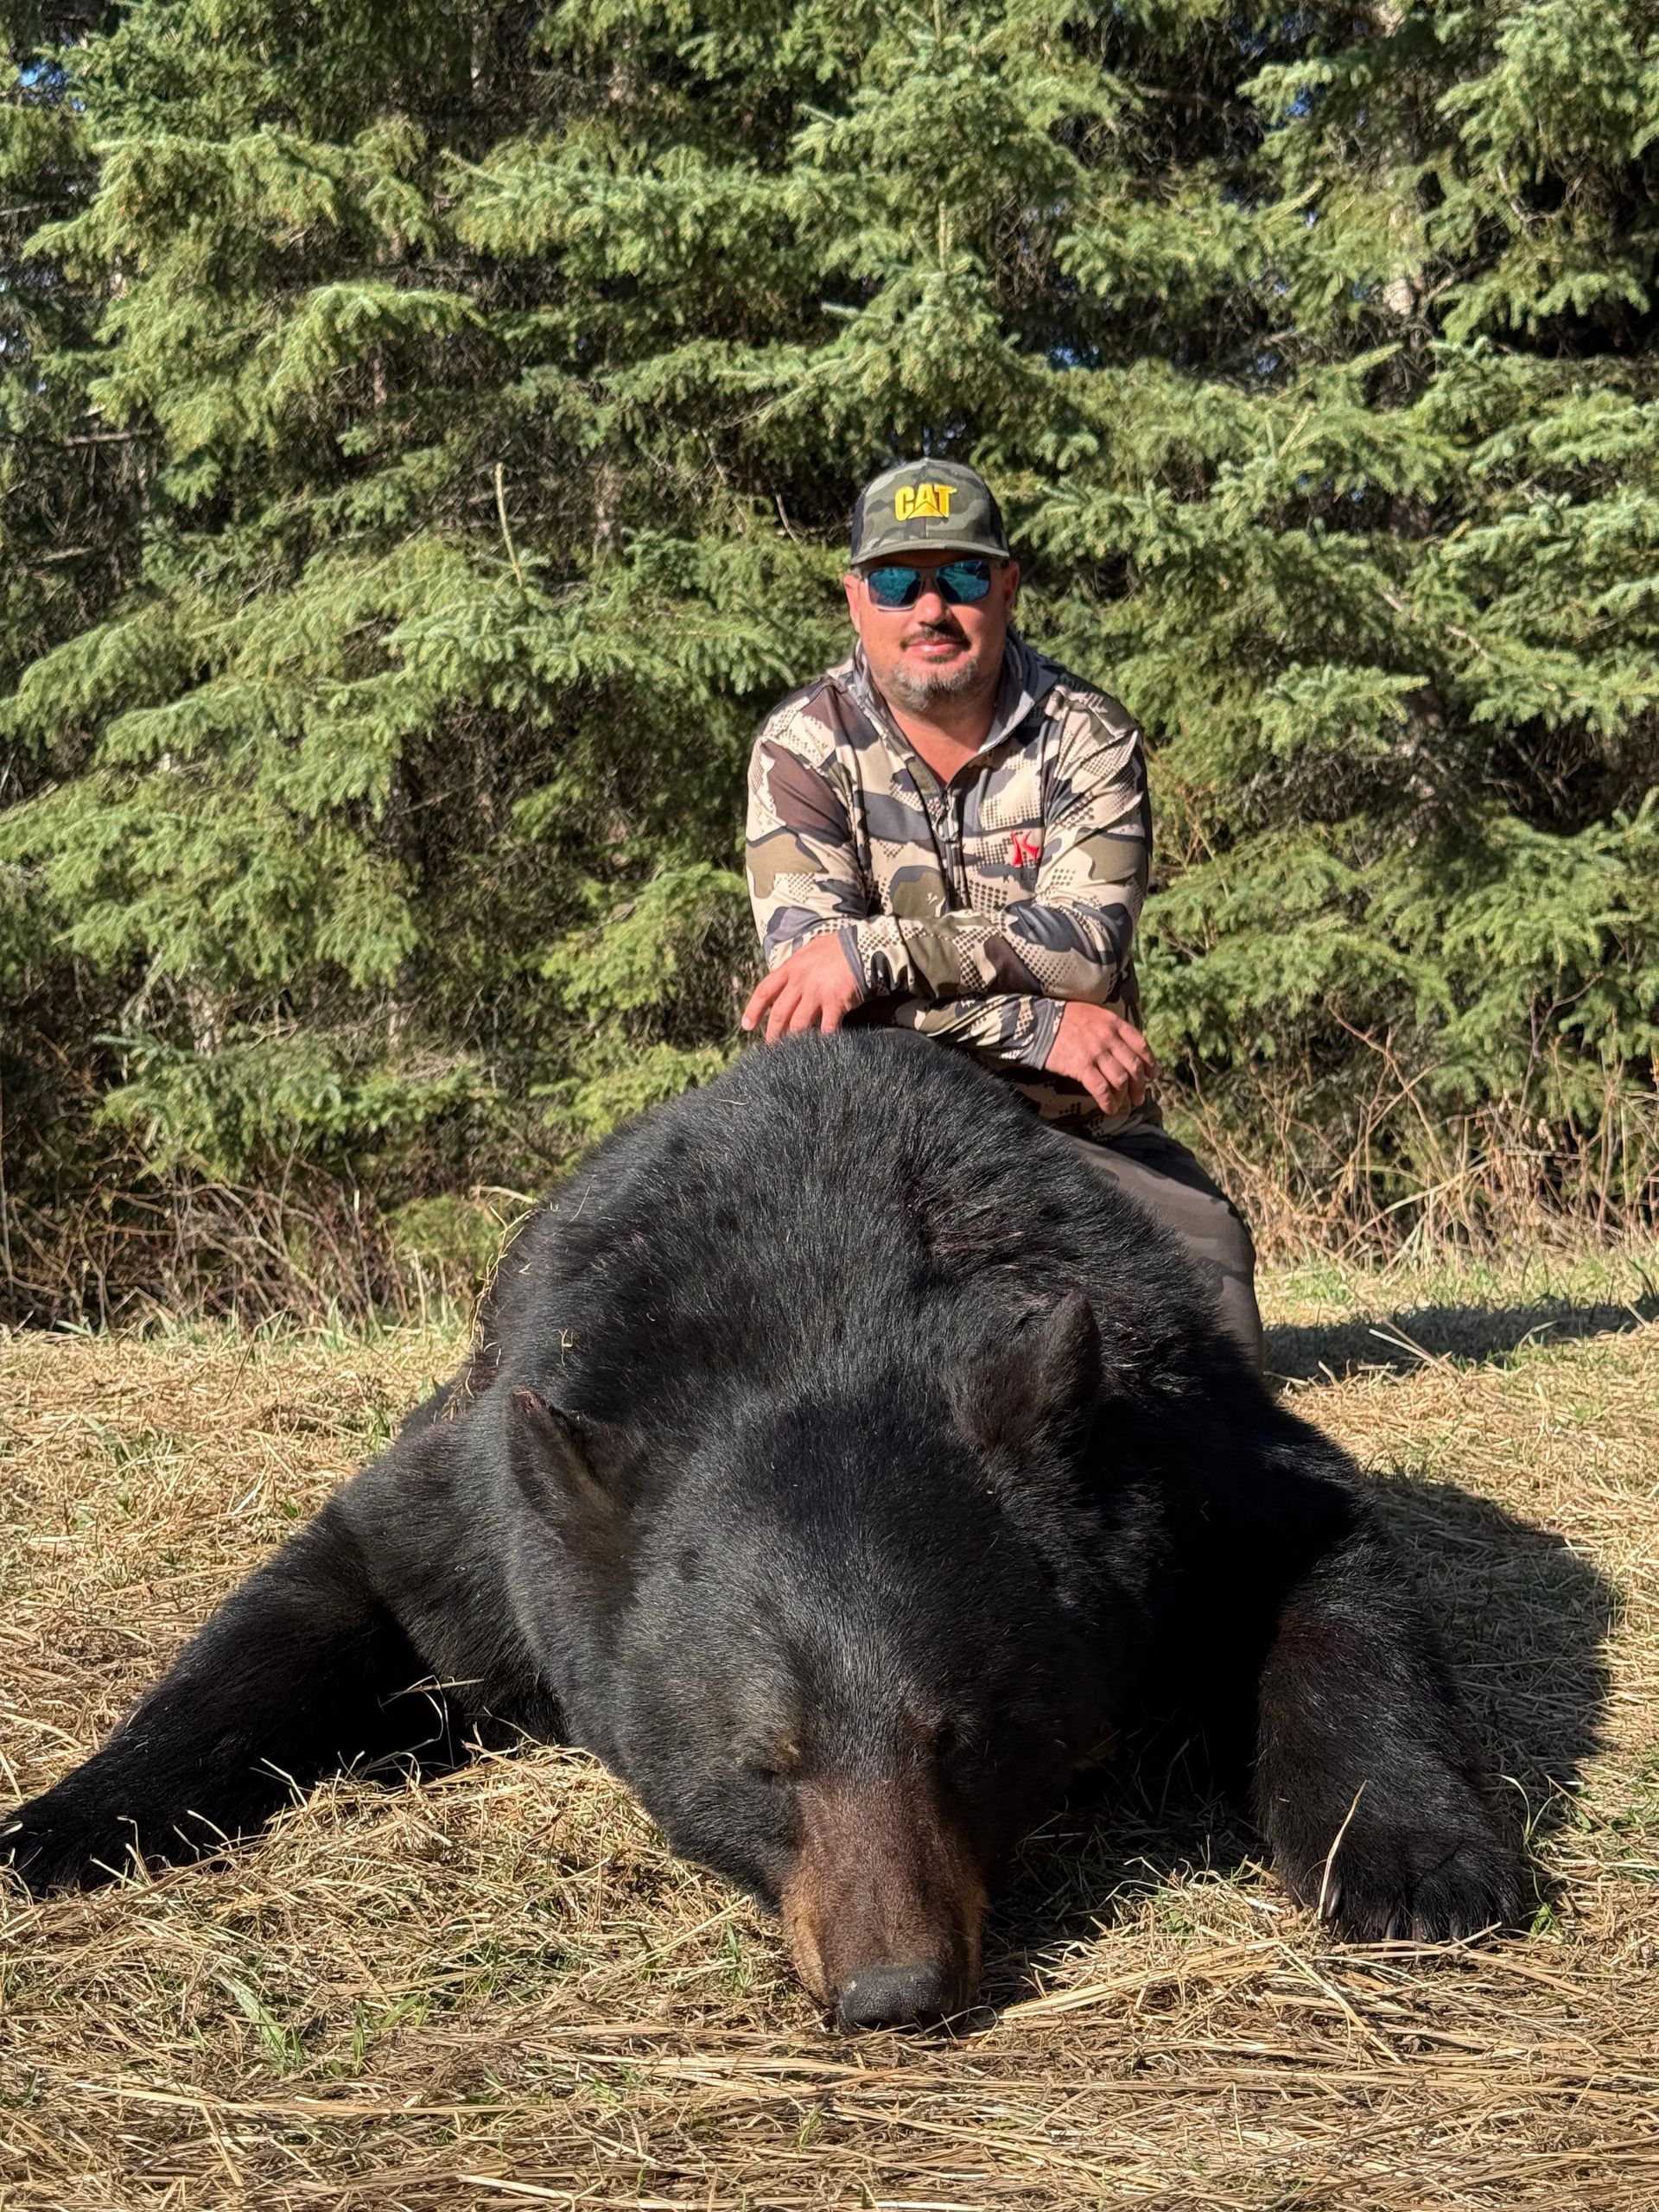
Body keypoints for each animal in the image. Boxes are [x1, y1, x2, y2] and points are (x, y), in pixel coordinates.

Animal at [3, 1030, 1524, 2028]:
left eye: (971, 1734)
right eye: (762, 1765)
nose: (894, 1989)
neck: (821, 1308)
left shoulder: (1173, 1455)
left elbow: (1323, 1559)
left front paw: (1414, 1865)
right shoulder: (496, 1492)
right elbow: (323, 1589)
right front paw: (64, 1821)